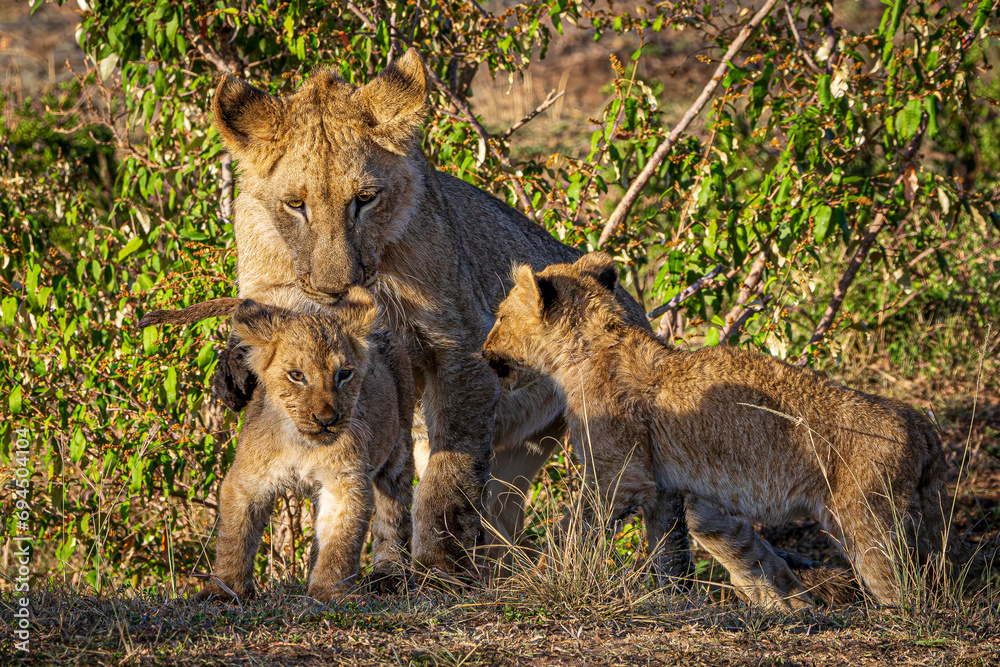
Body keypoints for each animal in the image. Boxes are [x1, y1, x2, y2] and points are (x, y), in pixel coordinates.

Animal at [140, 288, 415, 601]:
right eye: (297, 375)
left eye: (344, 374)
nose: (327, 419)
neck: (301, 443)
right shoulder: (246, 480)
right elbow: (235, 538)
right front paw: (225, 589)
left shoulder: (345, 482)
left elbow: (340, 541)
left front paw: (328, 592)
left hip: (399, 446)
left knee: (393, 513)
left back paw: (389, 575)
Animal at [206, 48, 692, 577]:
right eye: (296, 204)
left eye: (365, 199)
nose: (336, 288)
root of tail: (635, 309)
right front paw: (234, 373)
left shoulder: (462, 348)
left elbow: (446, 475)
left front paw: (437, 566)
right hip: (520, 452)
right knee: (504, 517)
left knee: (657, 507)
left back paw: (670, 577)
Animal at [481, 252, 998, 608]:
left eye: (501, 316)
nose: (484, 351)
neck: (591, 348)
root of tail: (922, 424)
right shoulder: (668, 487)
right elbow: (682, 547)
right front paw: (682, 599)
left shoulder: (620, 477)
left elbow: (578, 529)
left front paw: (546, 578)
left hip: (867, 519)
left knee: (906, 588)